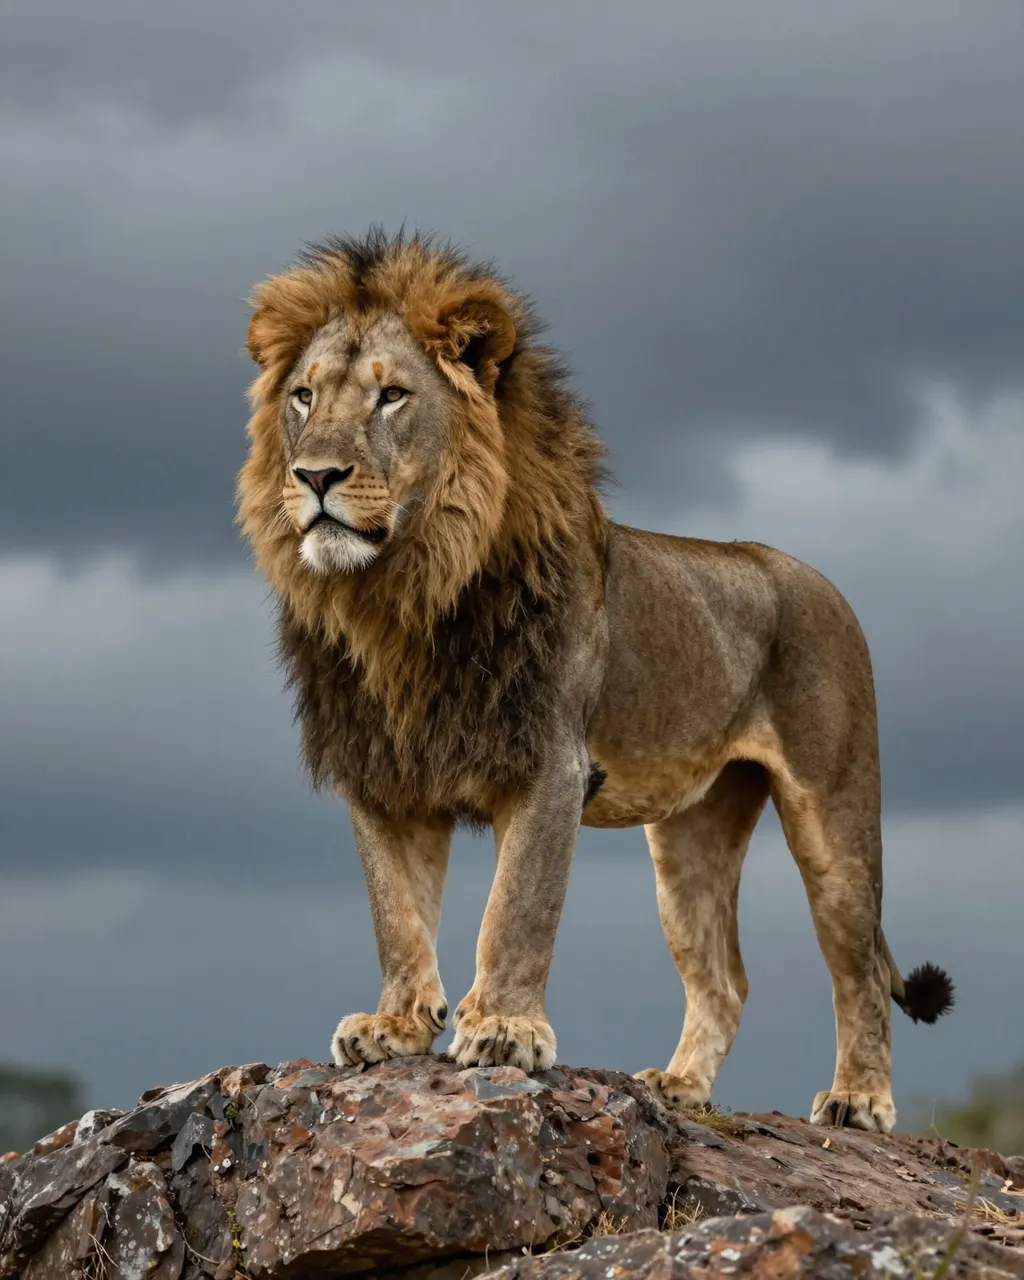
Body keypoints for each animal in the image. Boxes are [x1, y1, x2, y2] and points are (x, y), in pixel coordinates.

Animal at [237, 229, 953, 1134]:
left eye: (391, 396)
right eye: (302, 397)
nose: (315, 477)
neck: (403, 595)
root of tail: (814, 578)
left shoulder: (550, 762)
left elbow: (517, 909)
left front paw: (503, 1031)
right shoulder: (384, 771)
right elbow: (395, 913)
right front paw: (395, 1027)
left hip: (836, 810)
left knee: (856, 966)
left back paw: (859, 1100)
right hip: (691, 835)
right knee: (725, 978)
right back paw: (678, 1086)